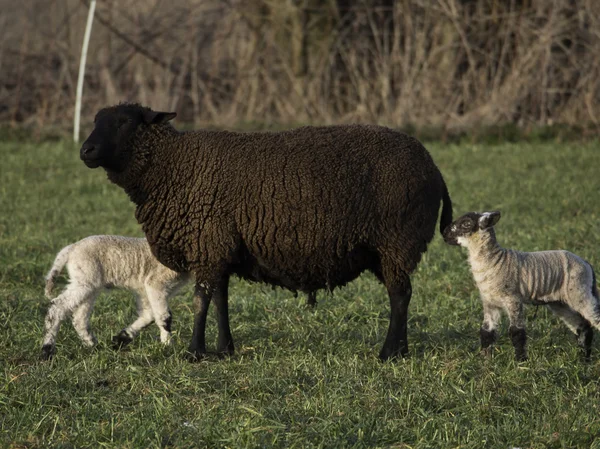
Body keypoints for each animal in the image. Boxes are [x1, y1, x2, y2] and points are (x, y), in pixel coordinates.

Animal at [81, 102, 454, 360]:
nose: (85, 150)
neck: (172, 166)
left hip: (397, 240)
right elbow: (221, 300)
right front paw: (224, 349)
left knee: (400, 295)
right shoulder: (219, 247)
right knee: (400, 293)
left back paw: (390, 353)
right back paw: (400, 350)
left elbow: (202, 299)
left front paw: (194, 352)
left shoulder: (208, 242)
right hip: (384, 248)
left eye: (124, 121)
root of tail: (434, 168)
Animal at [442, 210, 596, 360]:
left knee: (593, 318)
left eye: (466, 224)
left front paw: (520, 361)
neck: (495, 261)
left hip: (579, 291)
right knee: (582, 326)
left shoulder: (513, 299)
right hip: (561, 302)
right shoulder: (489, 302)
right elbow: (487, 331)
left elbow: (517, 332)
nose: (444, 233)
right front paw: (485, 359)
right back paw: (584, 357)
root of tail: (587, 264)